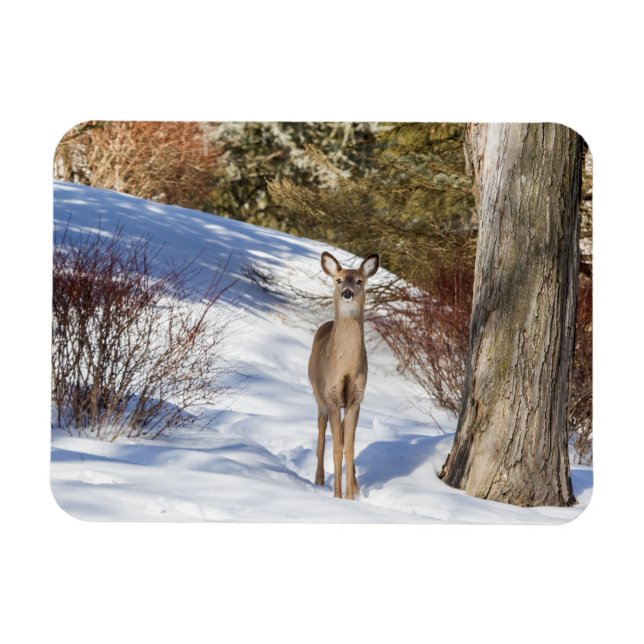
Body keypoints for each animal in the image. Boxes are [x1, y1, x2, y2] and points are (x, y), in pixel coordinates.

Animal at [308, 251, 379, 499]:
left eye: (359, 280)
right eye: (338, 280)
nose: (347, 292)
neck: (346, 368)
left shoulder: (355, 399)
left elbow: (349, 448)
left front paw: (350, 496)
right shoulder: (331, 395)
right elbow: (337, 450)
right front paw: (338, 496)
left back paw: (355, 485)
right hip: (319, 398)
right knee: (321, 439)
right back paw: (319, 479)